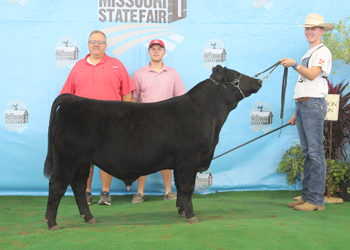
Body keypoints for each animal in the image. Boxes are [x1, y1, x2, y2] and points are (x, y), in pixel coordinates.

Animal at [43, 65, 262, 230]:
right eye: (235, 75)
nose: (258, 81)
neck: (207, 113)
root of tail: (73, 99)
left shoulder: (180, 163)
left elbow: (179, 188)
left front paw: (181, 210)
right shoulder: (189, 159)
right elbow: (187, 187)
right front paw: (191, 215)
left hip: (82, 162)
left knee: (78, 187)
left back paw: (89, 218)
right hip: (66, 159)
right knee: (57, 186)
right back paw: (52, 223)